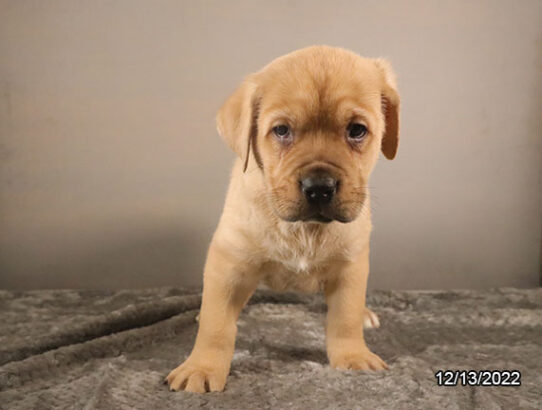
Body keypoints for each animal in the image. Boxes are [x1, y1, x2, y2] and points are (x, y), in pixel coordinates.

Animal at [168, 45, 402, 394]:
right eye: (281, 130)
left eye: (357, 130)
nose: (319, 188)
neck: (304, 228)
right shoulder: (228, 262)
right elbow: (216, 324)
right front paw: (202, 366)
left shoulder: (351, 265)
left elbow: (344, 318)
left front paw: (353, 355)